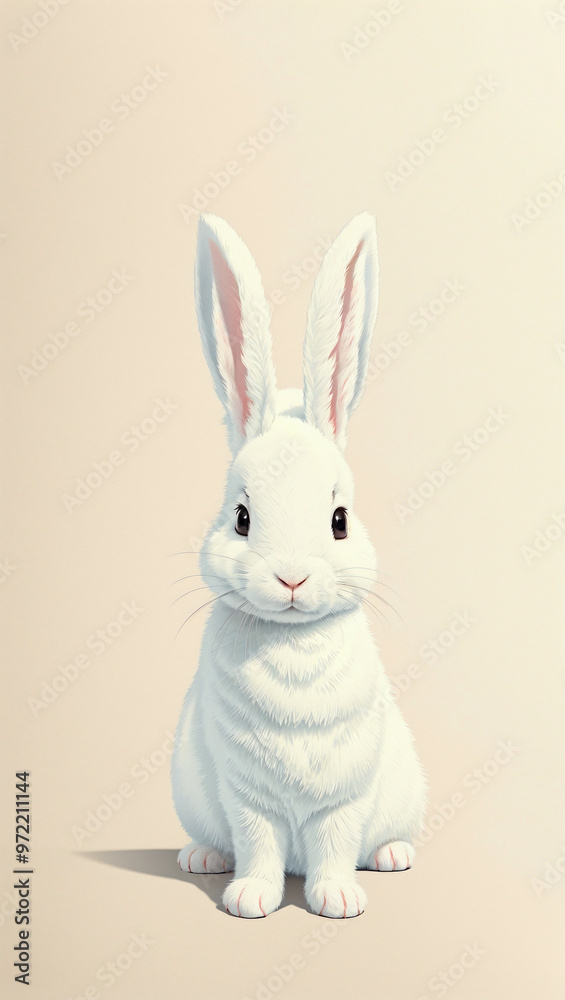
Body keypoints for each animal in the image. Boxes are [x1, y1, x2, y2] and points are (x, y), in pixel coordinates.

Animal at [171, 212, 426, 918]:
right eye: (241, 517)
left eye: (339, 520)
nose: (291, 579)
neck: (290, 642)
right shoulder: (245, 795)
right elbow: (257, 843)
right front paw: (251, 899)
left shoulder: (344, 796)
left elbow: (336, 843)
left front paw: (337, 899)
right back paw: (201, 859)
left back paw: (392, 857)